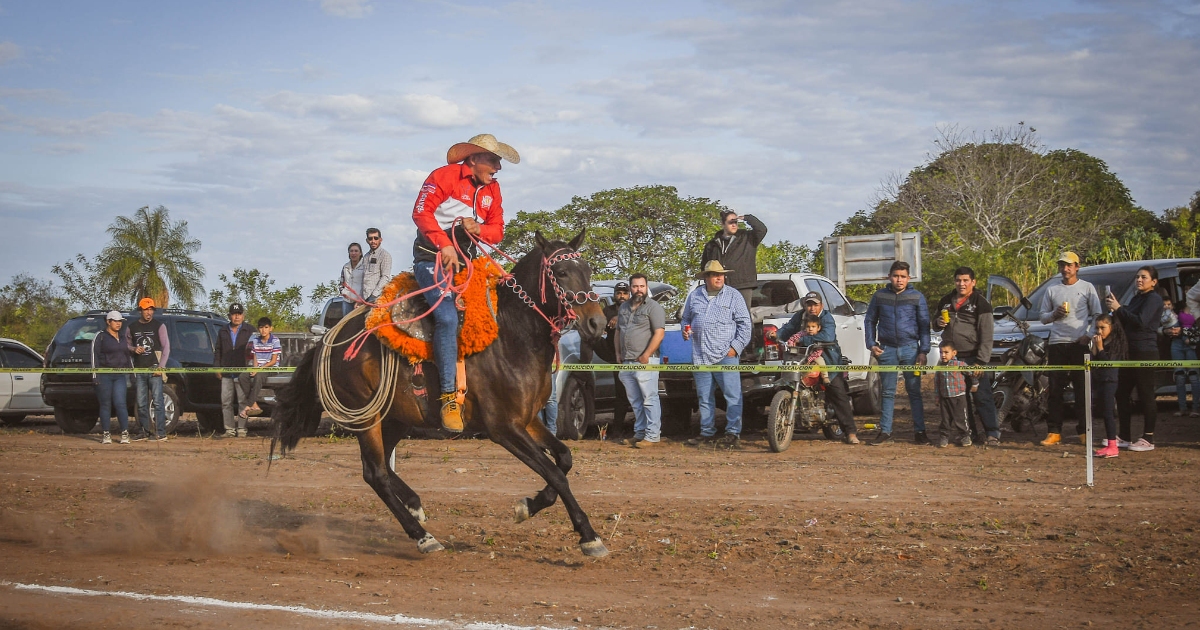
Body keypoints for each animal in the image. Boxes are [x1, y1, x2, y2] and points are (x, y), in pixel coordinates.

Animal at [272, 229, 609, 554]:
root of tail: (327, 339)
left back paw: (414, 506)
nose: (597, 322)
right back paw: (422, 537)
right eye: (561, 272)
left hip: (395, 418)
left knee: (378, 469)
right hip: (367, 418)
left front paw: (528, 506)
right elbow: (555, 473)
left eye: (588, 270)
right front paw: (589, 536)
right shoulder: (504, 428)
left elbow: (564, 459)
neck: (512, 337)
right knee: (375, 473)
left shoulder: (528, 420)